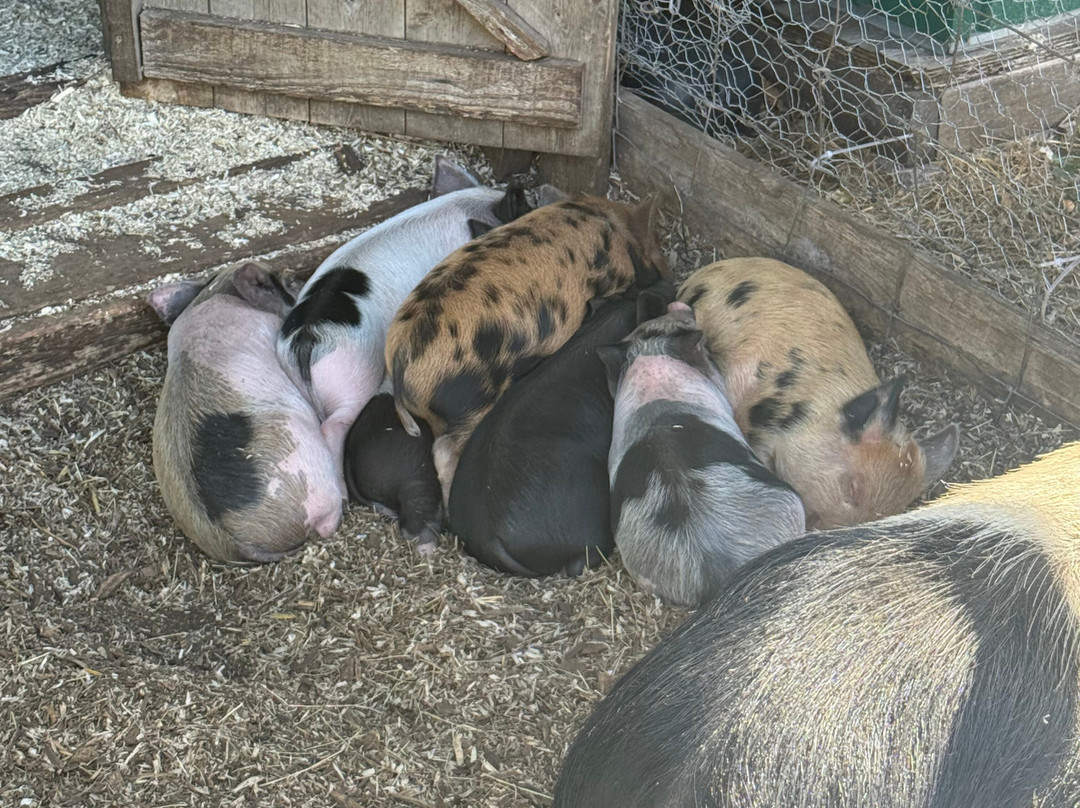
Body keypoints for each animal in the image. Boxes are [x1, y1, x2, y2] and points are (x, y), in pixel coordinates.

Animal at [386, 194, 671, 503]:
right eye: (656, 247)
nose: (668, 271)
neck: (617, 230)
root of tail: (401, 358)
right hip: (472, 405)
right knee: (443, 450)